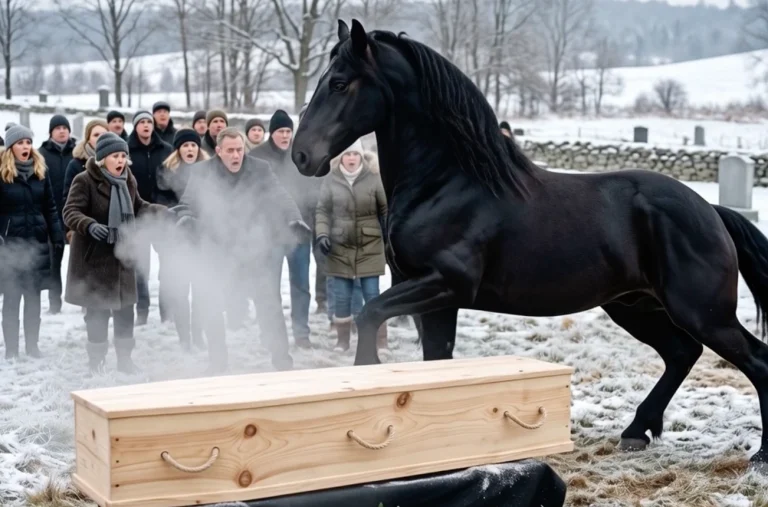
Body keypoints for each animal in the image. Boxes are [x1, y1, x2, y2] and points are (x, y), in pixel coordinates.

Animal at [291, 19, 768, 473]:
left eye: (340, 83)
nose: (301, 155)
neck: (446, 184)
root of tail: (711, 209)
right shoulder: (434, 298)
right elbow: (436, 361)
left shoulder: (444, 284)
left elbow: (369, 314)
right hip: (634, 306)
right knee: (682, 353)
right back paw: (636, 431)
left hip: (702, 312)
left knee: (754, 361)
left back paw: (759, 456)